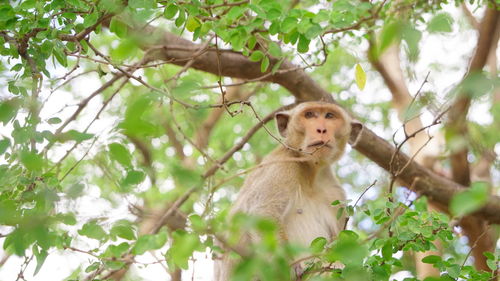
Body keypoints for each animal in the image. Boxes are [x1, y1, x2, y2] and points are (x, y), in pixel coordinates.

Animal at [213, 101, 362, 280]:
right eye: (310, 115)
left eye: (329, 116)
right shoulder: (283, 165)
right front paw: (288, 269)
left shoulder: (335, 193)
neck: (311, 173)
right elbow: (262, 214)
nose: (321, 129)